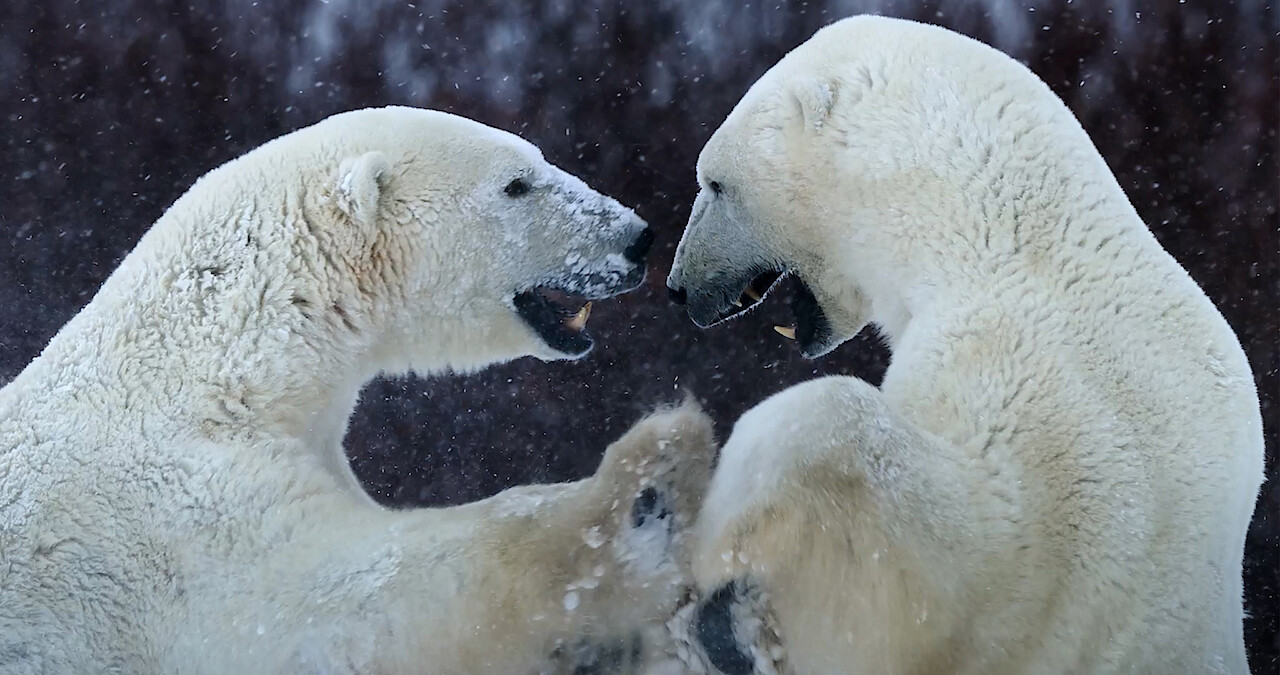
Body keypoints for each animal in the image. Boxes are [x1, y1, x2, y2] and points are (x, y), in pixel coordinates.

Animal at [0, 105, 714, 674]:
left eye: (538, 161)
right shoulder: (176, 524)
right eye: (517, 183)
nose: (639, 237)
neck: (217, 366)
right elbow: (343, 603)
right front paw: (645, 480)